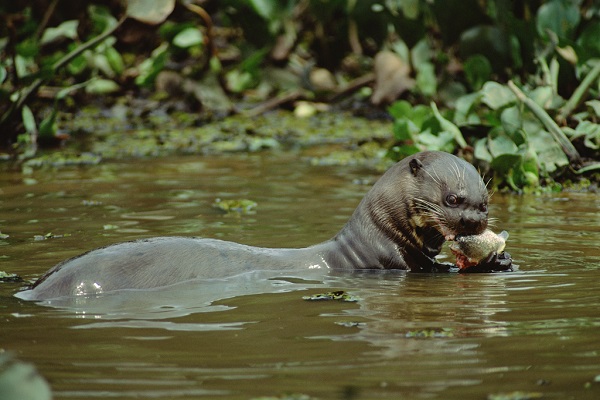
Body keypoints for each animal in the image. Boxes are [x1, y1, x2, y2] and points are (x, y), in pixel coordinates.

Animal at [14, 150, 510, 300]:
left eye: (485, 201)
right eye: (453, 199)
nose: (474, 220)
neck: (374, 238)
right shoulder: (395, 263)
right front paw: (496, 262)